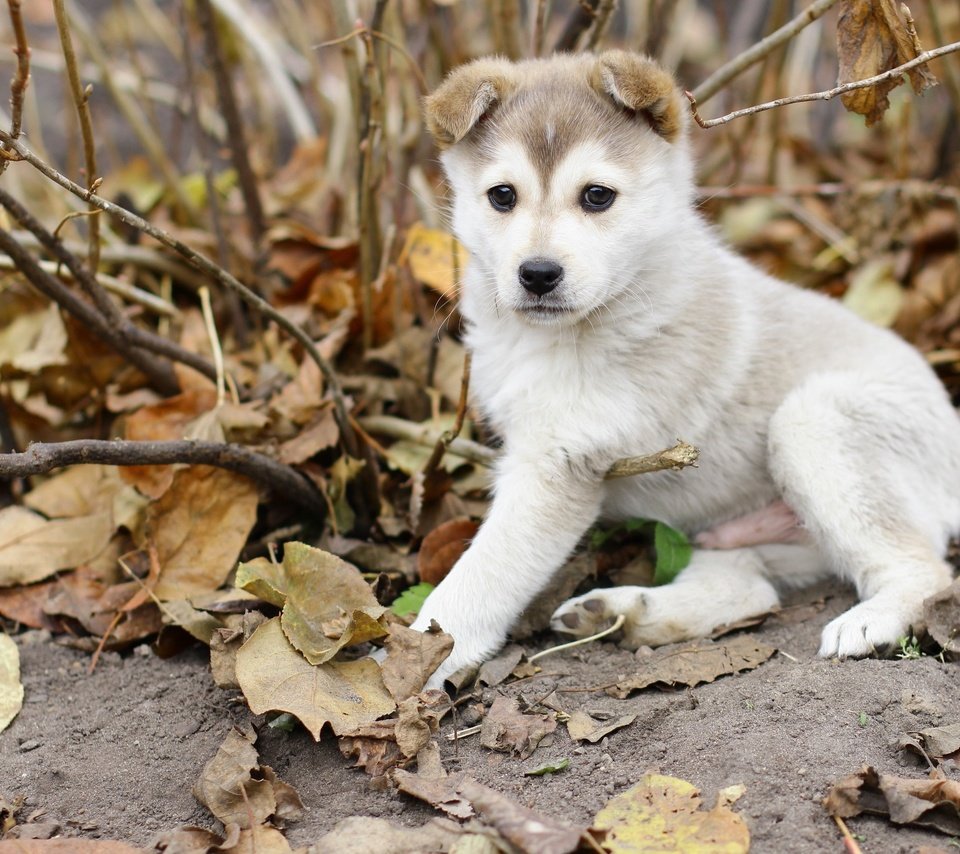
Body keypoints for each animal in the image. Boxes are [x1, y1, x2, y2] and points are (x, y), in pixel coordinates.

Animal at [406, 51, 960, 688]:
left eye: (597, 196)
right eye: (502, 196)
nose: (538, 274)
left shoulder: (557, 466)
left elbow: (476, 581)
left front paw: (417, 659)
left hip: (812, 422)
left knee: (924, 571)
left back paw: (870, 623)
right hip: (739, 534)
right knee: (750, 592)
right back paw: (623, 613)